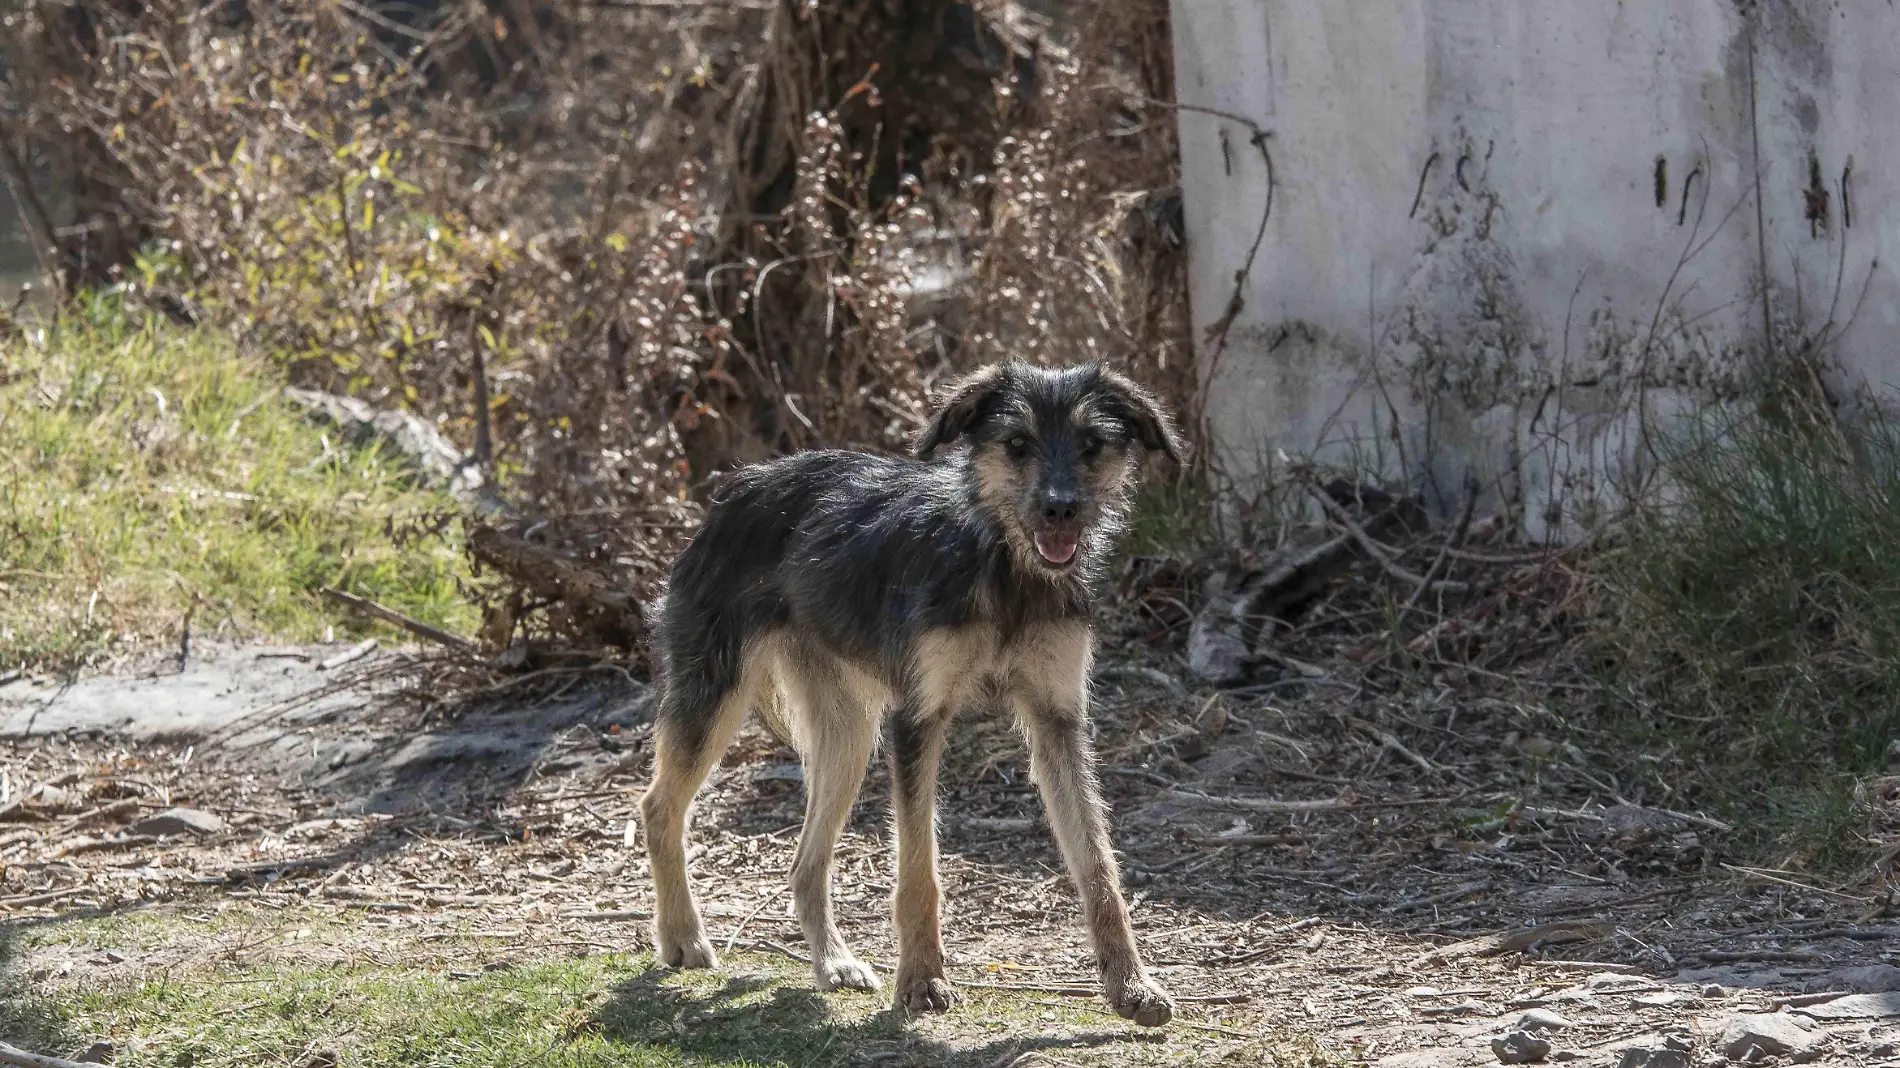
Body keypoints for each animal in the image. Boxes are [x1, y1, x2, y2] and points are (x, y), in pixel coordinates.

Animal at [646, 359, 1178, 1026]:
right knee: (659, 808)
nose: (1061, 510)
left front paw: (1131, 984)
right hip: (714, 700)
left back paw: (833, 962)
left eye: (1091, 444)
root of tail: (739, 486)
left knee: (804, 862)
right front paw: (922, 981)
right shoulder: (918, 721)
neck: (1000, 565)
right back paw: (683, 936)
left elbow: (1098, 865)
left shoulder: (1057, 721)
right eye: (1017, 443)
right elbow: (919, 869)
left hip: (848, 739)